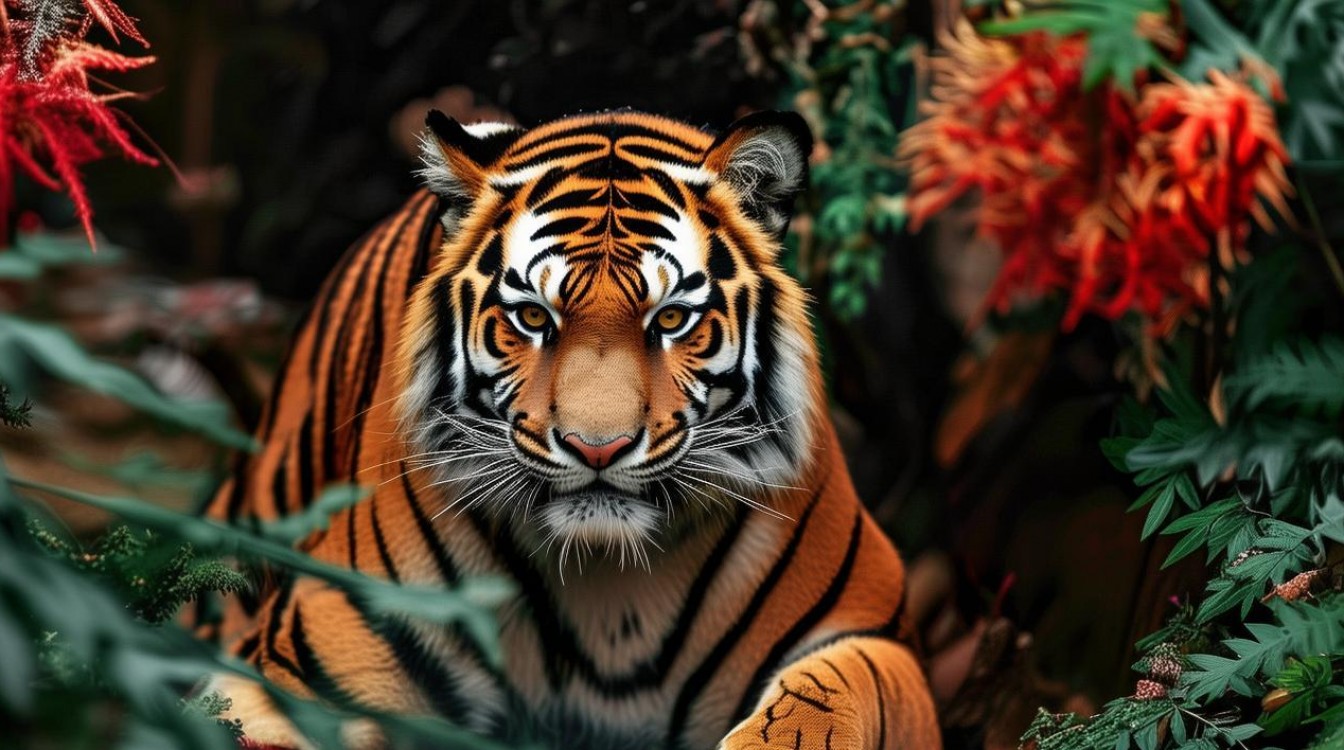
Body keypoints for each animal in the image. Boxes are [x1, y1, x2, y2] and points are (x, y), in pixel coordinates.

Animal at [202, 109, 941, 750]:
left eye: (671, 319)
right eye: (533, 316)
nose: (598, 448)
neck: (609, 585)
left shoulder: (874, 635)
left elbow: (820, 699)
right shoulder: (308, 665)